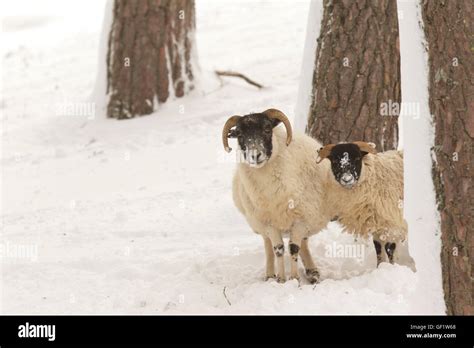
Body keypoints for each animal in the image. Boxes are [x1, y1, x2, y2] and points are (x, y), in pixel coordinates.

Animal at [223, 109, 332, 282]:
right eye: (239, 134)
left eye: (267, 129)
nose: (255, 155)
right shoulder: (269, 224)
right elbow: (278, 249)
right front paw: (281, 279)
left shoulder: (301, 220)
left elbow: (294, 248)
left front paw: (294, 279)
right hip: (260, 223)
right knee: (268, 245)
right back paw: (269, 274)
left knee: (302, 243)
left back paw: (312, 272)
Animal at [318, 142, 414, 272]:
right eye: (334, 160)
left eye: (357, 158)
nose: (347, 179)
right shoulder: (377, 224)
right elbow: (378, 248)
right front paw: (379, 267)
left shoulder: (392, 222)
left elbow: (390, 248)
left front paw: (393, 268)